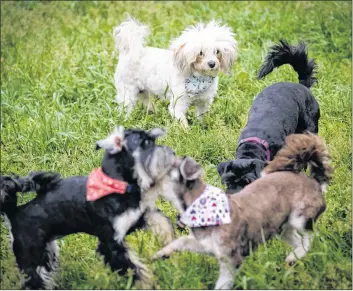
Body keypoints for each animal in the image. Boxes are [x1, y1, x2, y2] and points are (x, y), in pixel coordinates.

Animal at [0, 126, 176, 290]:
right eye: (145, 143)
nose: (173, 154)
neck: (118, 185)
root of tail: (14, 213)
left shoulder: (140, 216)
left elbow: (163, 224)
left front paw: (170, 247)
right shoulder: (111, 243)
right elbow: (133, 269)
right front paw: (147, 285)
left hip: (47, 254)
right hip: (31, 257)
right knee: (33, 280)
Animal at [153, 134, 332, 290]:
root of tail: (314, 180)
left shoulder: (231, 259)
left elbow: (223, 284)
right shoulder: (204, 245)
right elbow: (181, 241)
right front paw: (161, 254)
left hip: (300, 218)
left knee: (310, 237)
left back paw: (297, 254)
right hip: (282, 229)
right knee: (298, 241)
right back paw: (293, 258)